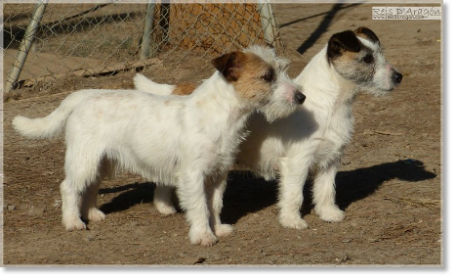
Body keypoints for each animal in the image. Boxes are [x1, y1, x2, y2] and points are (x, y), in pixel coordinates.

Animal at [13, 46, 306, 245]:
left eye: (283, 70)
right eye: (267, 76)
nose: (301, 97)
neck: (219, 114)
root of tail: (84, 96)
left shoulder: (218, 176)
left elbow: (214, 205)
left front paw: (218, 228)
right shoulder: (193, 176)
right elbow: (200, 207)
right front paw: (203, 235)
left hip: (102, 162)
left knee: (91, 187)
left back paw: (92, 213)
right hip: (83, 160)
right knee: (69, 187)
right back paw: (73, 221)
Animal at [133, 26, 402, 230]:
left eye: (380, 54)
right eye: (367, 59)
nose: (398, 77)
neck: (330, 102)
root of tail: (179, 90)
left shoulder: (331, 160)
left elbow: (326, 190)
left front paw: (329, 214)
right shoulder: (297, 162)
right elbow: (294, 195)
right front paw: (292, 221)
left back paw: (164, 207)